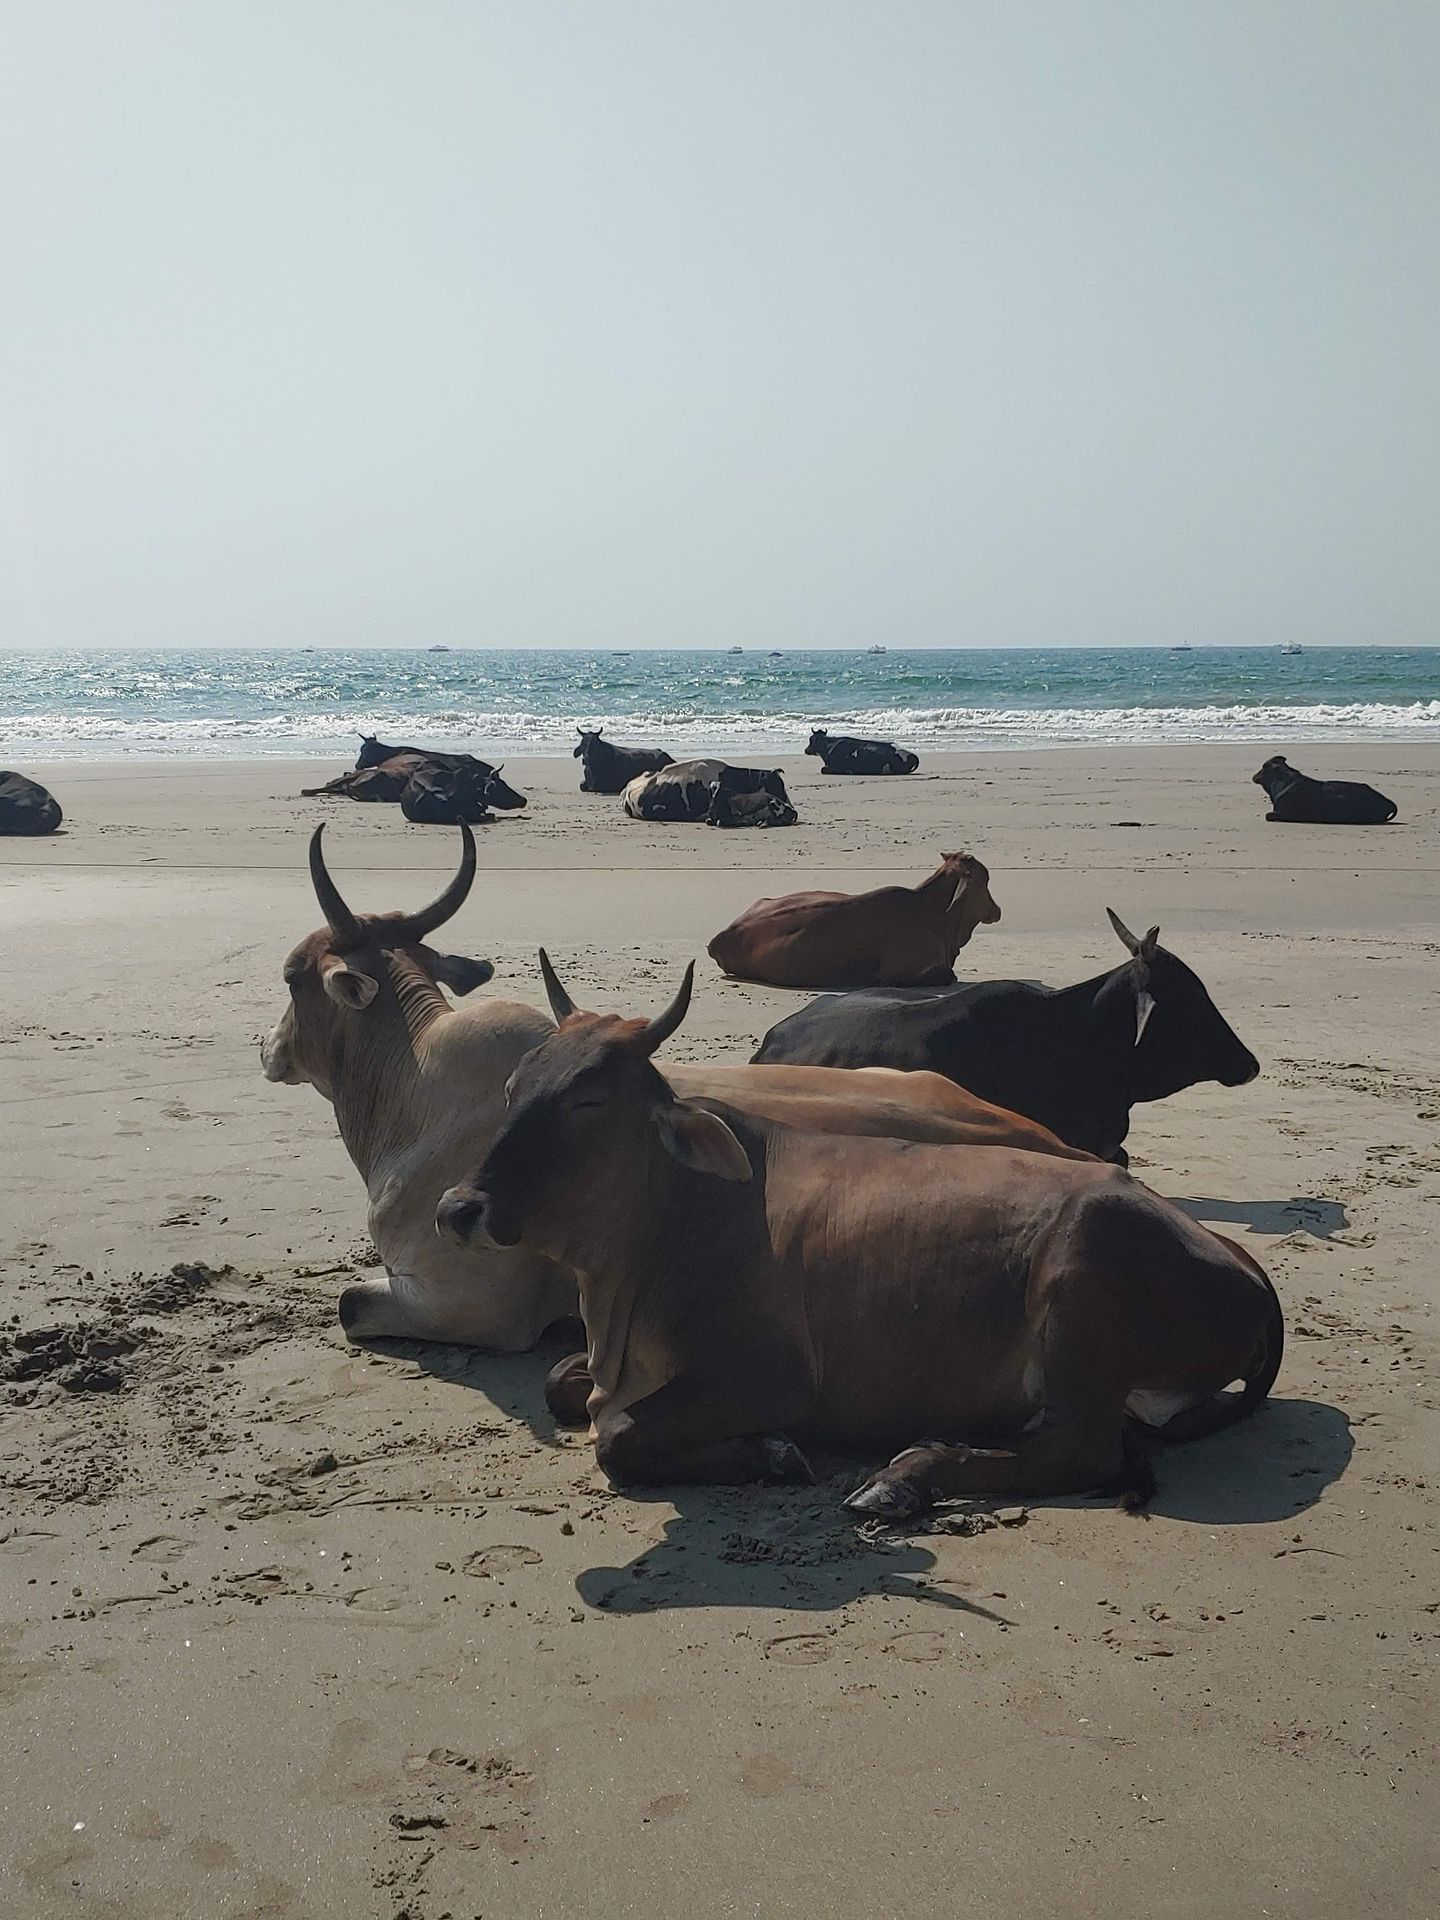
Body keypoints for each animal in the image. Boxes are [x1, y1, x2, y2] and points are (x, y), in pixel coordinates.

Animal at [436, 963, 1283, 1514]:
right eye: (513, 1085)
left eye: (590, 1100)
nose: (457, 1209)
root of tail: (1247, 1271)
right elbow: (561, 1384)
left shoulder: (773, 1378)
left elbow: (615, 1436)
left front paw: (772, 1453)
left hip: (1082, 1289)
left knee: (1079, 1451)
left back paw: (906, 1476)